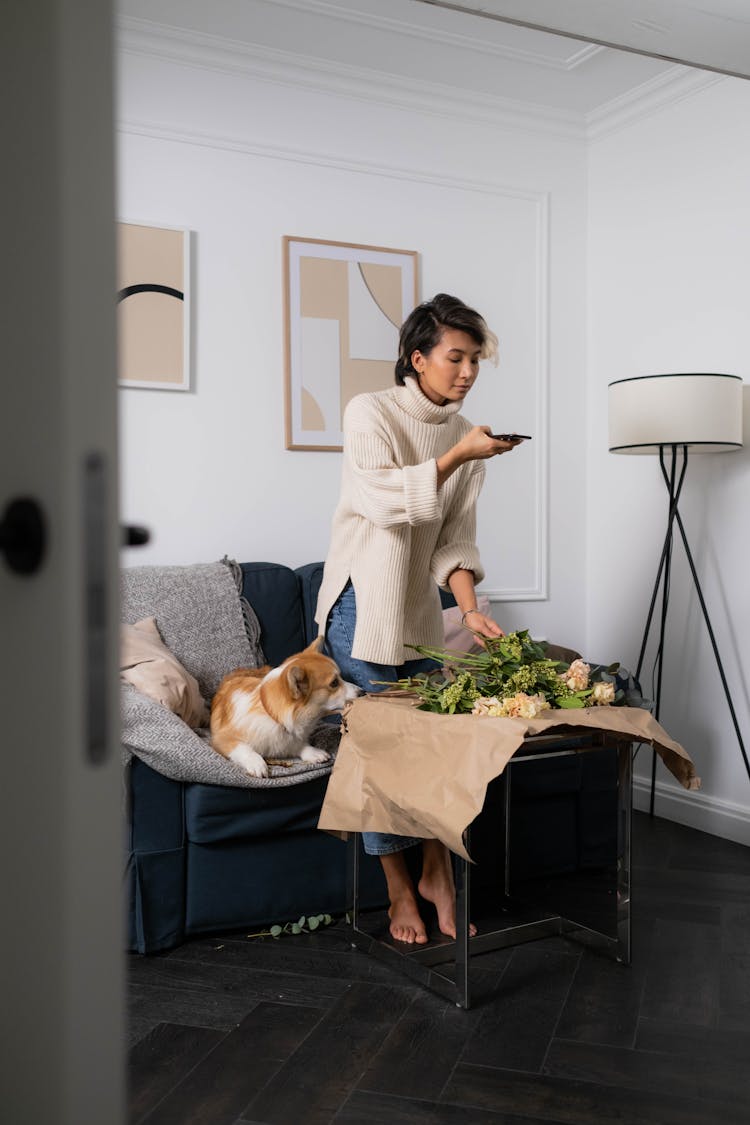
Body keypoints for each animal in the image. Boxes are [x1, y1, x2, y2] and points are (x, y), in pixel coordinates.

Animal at [208, 639, 359, 778]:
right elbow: (244, 748)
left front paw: (312, 752)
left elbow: (296, 744)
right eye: (334, 683)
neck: (272, 714)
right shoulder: (221, 739)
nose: (362, 692)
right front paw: (257, 763)